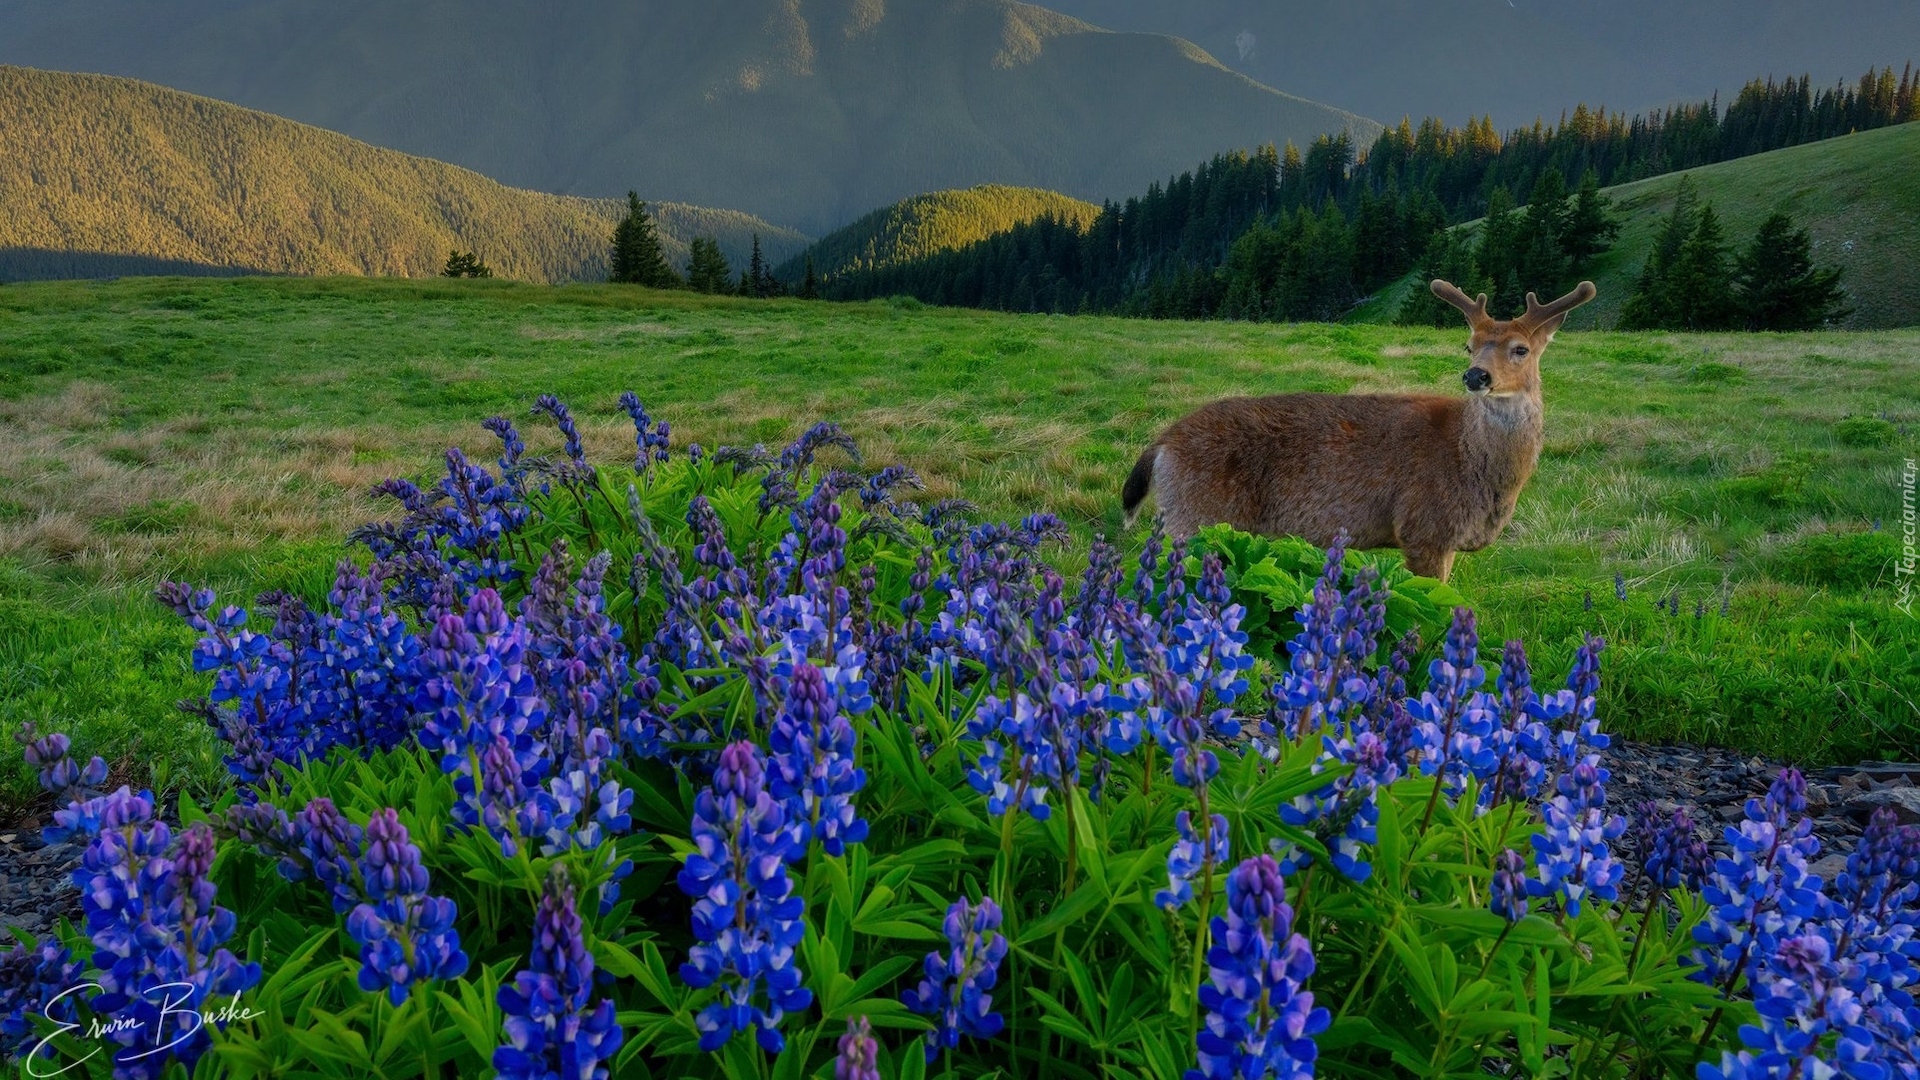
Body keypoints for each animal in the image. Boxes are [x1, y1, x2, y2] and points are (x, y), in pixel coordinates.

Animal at [1121, 276, 1597, 580]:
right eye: (1470, 345)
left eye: (1521, 349)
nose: (1476, 375)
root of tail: (1161, 444)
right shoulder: (1423, 528)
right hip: (1195, 516)